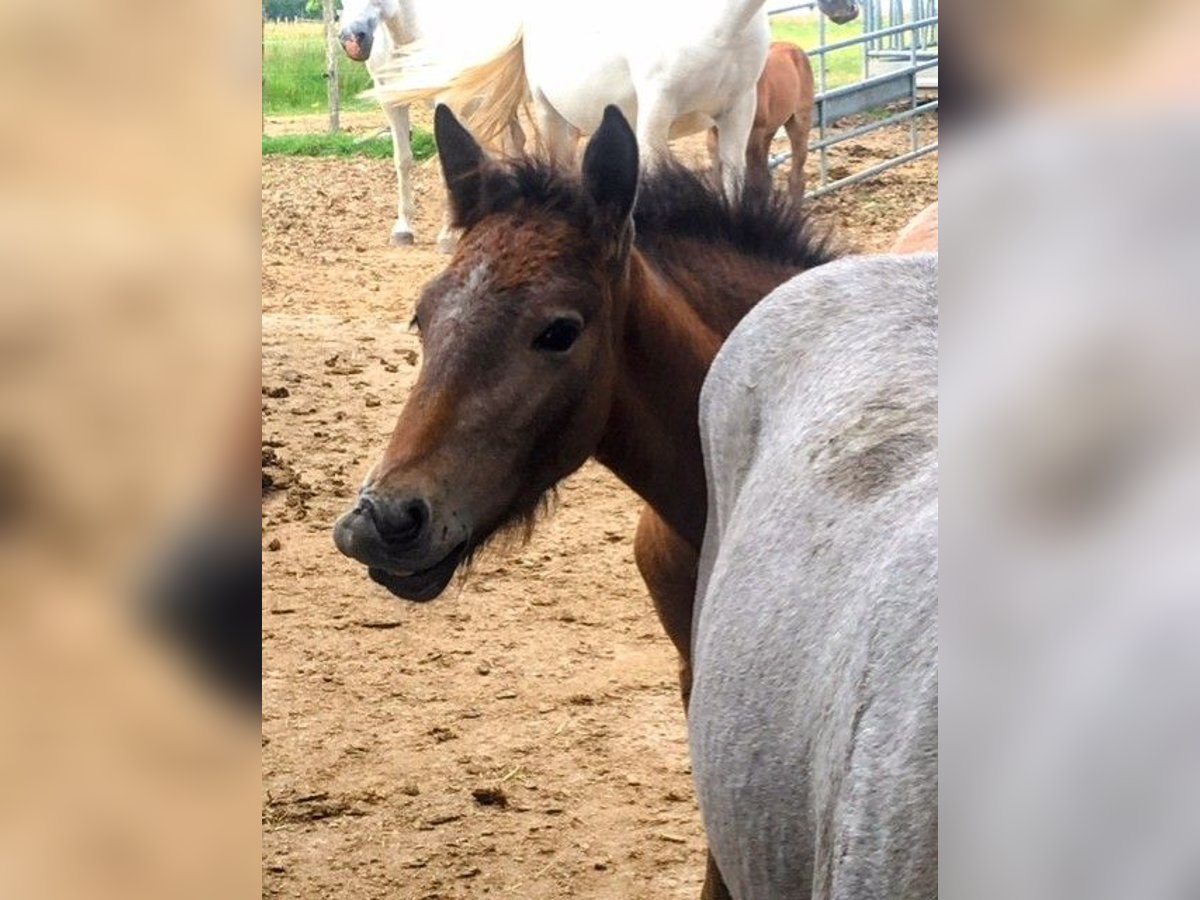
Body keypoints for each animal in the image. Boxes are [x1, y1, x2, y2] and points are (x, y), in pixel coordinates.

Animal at [700, 41, 816, 196]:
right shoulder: (713, 135)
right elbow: (721, 184)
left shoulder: (753, 134)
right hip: (768, 131)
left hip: (799, 123)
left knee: (796, 177)